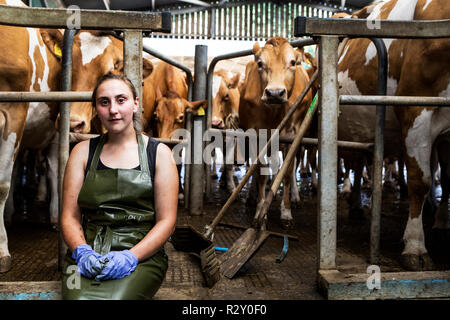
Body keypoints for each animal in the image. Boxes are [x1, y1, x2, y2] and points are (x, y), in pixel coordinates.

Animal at [239, 37, 312, 228]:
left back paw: (295, 196)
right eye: (260, 63)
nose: (275, 93)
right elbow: (260, 172)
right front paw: (260, 211)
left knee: (291, 166)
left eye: (292, 62)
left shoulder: (291, 136)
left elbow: (286, 173)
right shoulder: (256, 136)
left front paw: (286, 212)